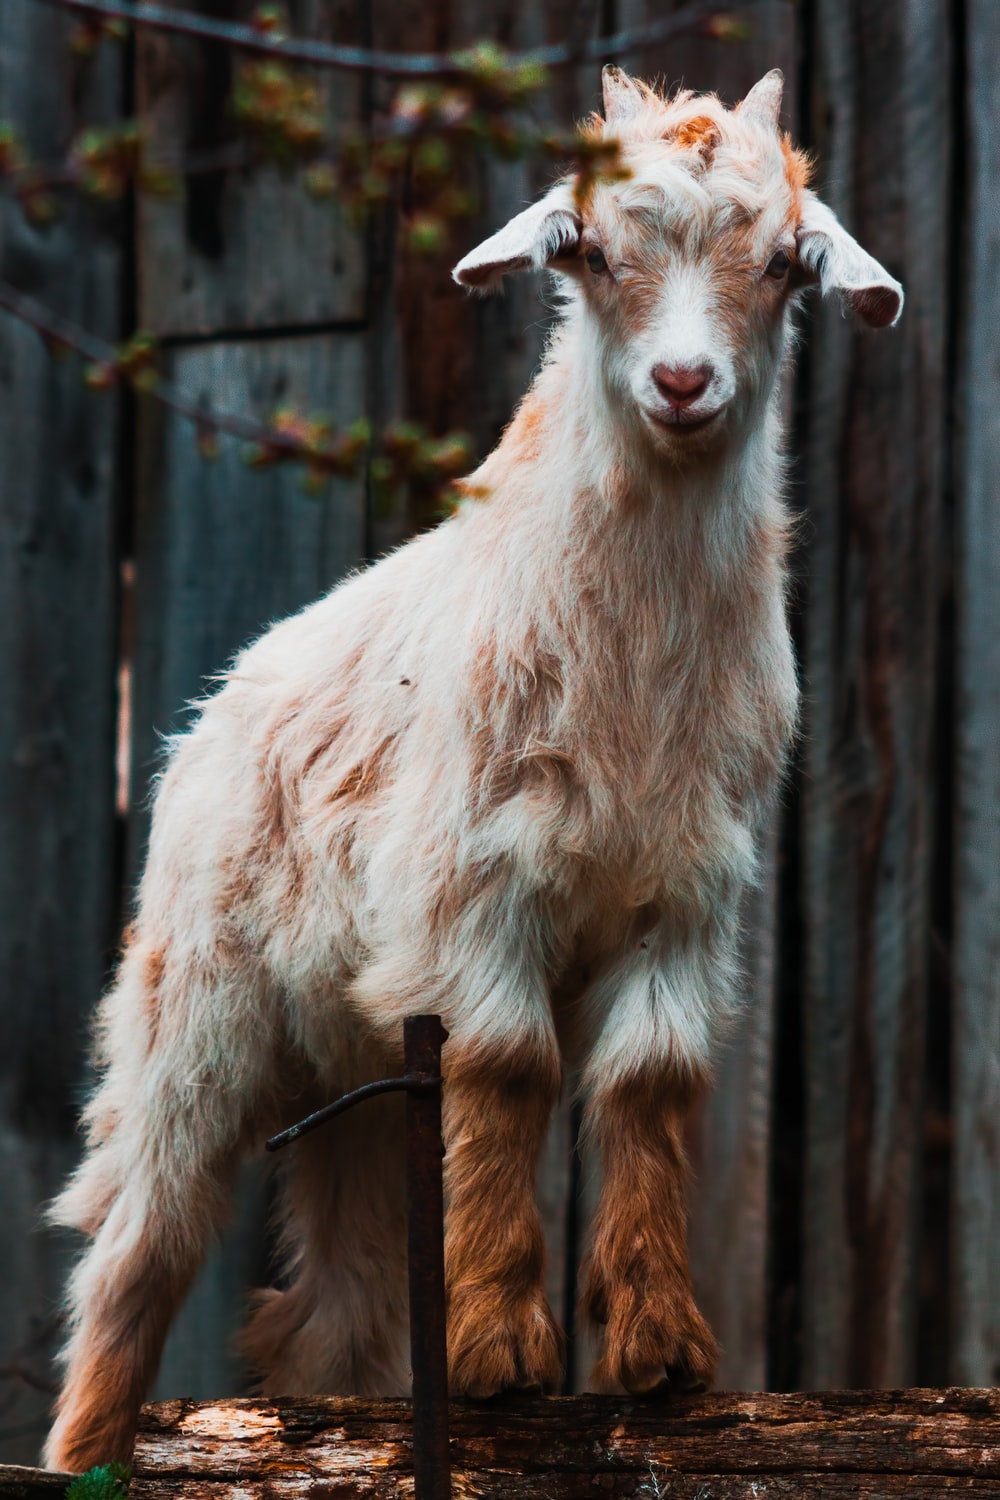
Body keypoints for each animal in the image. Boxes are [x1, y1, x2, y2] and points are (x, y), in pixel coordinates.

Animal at [44, 65, 902, 1472]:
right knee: (134, 1256)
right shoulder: (472, 888)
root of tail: (206, 719)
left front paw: (662, 1354)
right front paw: (502, 1355)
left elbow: (647, 1082)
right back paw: (91, 1450)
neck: (632, 677)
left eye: (783, 263)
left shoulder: (686, 898)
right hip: (191, 1010)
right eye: (592, 253)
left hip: (360, 1069)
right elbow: (511, 1070)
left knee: (333, 1307)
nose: (681, 382)